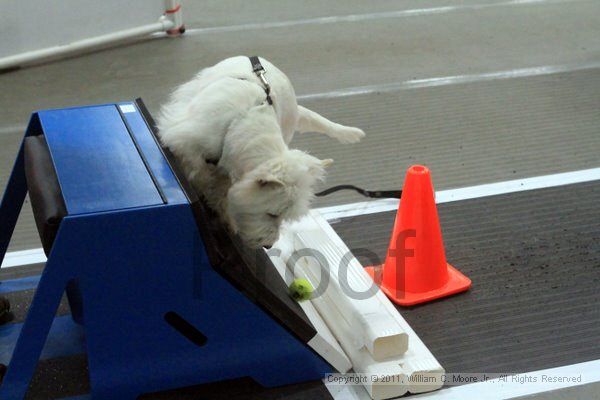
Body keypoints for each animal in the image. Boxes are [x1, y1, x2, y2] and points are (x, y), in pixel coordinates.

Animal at [158, 57, 366, 247]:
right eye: (272, 214)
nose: (269, 245)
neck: (239, 124)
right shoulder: (186, 137)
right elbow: (196, 167)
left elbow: (222, 193)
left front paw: (226, 218)